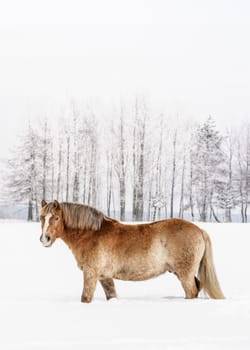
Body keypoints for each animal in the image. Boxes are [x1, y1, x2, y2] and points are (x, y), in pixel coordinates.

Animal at [39, 201, 225, 302]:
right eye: (42, 217)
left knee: (192, 291)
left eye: (56, 217)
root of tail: (199, 230)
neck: (91, 234)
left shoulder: (91, 274)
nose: (45, 239)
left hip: (185, 274)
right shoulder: (105, 277)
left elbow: (85, 298)